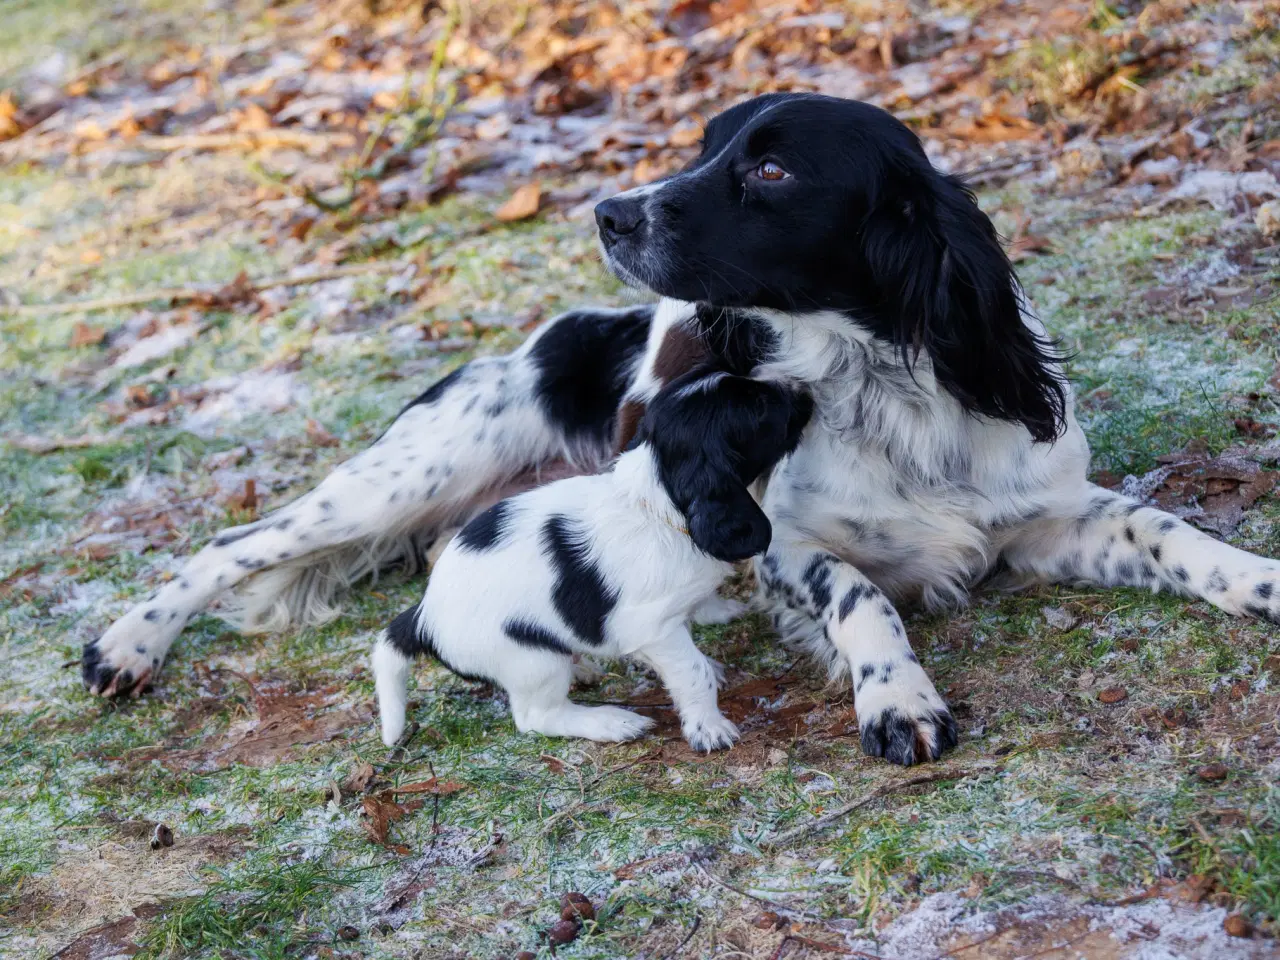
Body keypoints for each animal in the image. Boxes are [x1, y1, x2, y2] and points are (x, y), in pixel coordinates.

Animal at [371, 368, 808, 752]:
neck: (657, 505)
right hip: (531, 660)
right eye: (758, 407)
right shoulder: (653, 626)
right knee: (537, 717)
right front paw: (709, 727)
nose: (804, 388)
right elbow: (693, 671)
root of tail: (422, 615)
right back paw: (610, 721)